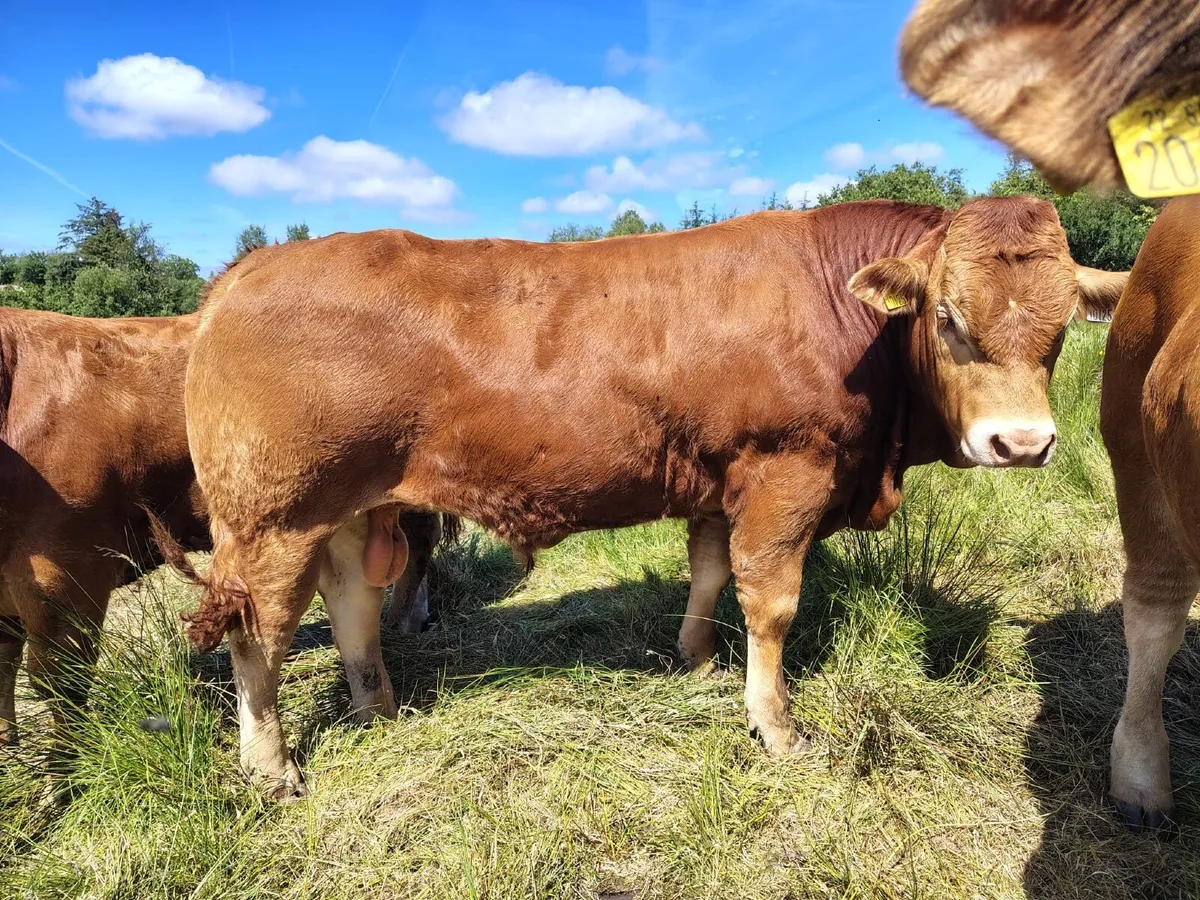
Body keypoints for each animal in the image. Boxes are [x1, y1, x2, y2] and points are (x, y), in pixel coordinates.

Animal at [0, 305, 448, 751]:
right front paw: (9, 743)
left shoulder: (69, 574)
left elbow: (60, 683)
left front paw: (66, 771)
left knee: (418, 541)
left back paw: (403, 622)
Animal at [167, 197, 1125, 800]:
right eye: (949, 318)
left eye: (1060, 331)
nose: (1022, 444)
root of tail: (241, 275)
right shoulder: (788, 472)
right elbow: (771, 602)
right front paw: (776, 726)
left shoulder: (720, 477)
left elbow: (708, 572)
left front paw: (696, 660)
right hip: (272, 522)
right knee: (259, 637)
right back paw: (272, 768)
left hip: (349, 510)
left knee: (354, 608)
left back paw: (381, 709)